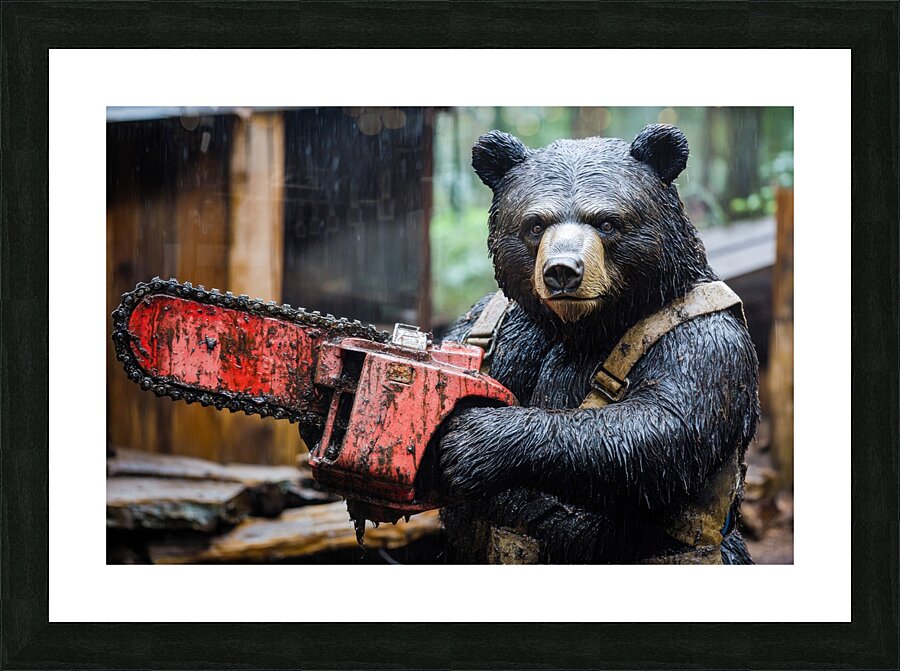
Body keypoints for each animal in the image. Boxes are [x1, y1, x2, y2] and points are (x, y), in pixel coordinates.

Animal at [437, 124, 760, 564]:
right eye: (535, 224)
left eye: (606, 222)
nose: (562, 271)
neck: (583, 329)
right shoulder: (498, 325)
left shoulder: (701, 340)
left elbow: (662, 428)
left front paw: (474, 438)